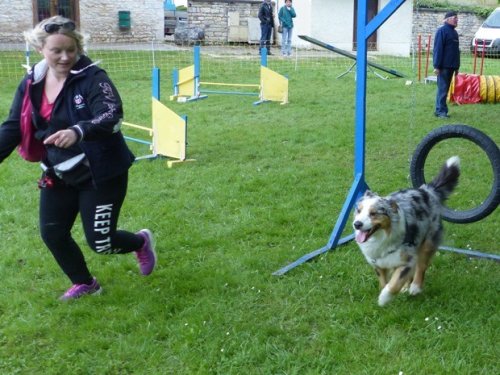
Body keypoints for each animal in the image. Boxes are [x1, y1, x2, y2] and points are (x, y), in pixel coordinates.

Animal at [354, 156, 458, 306]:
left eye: (373, 213)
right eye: (359, 211)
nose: (357, 224)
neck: (381, 237)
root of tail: (426, 191)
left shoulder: (408, 260)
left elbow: (393, 284)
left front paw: (384, 298)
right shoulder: (378, 264)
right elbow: (384, 282)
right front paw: (387, 292)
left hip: (428, 242)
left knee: (421, 266)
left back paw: (415, 287)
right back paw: (406, 287)